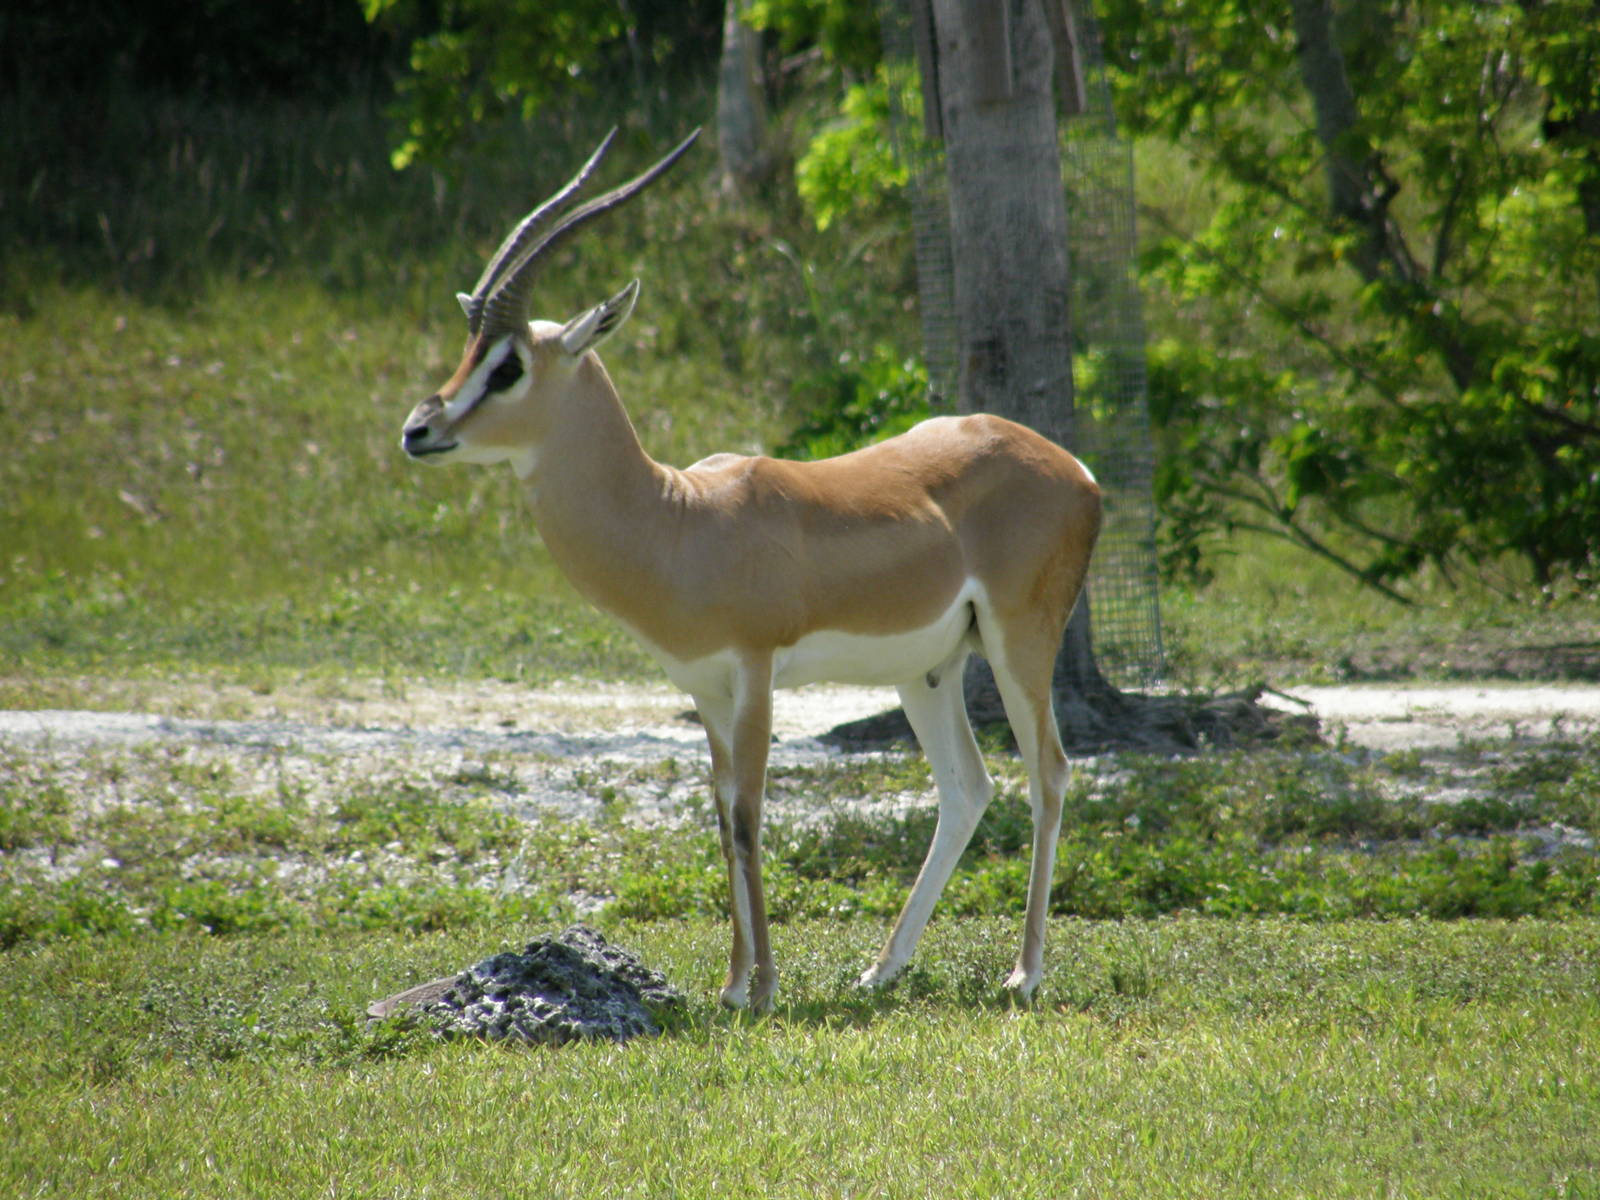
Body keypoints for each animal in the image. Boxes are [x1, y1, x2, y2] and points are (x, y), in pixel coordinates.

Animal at [399, 129, 1102, 1011]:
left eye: (509, 365)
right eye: (470, 352)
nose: (417, 429)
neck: (679, 516)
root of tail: (1075, 467)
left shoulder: (757, 671)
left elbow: (749, 814)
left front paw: (761, 988)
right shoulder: (704, 689)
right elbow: (719, 815)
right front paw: (735, 983)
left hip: (1020, 643)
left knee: (1049, 773)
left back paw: (1025, 972)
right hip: (929, 671)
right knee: (968, 788)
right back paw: (880, 970)